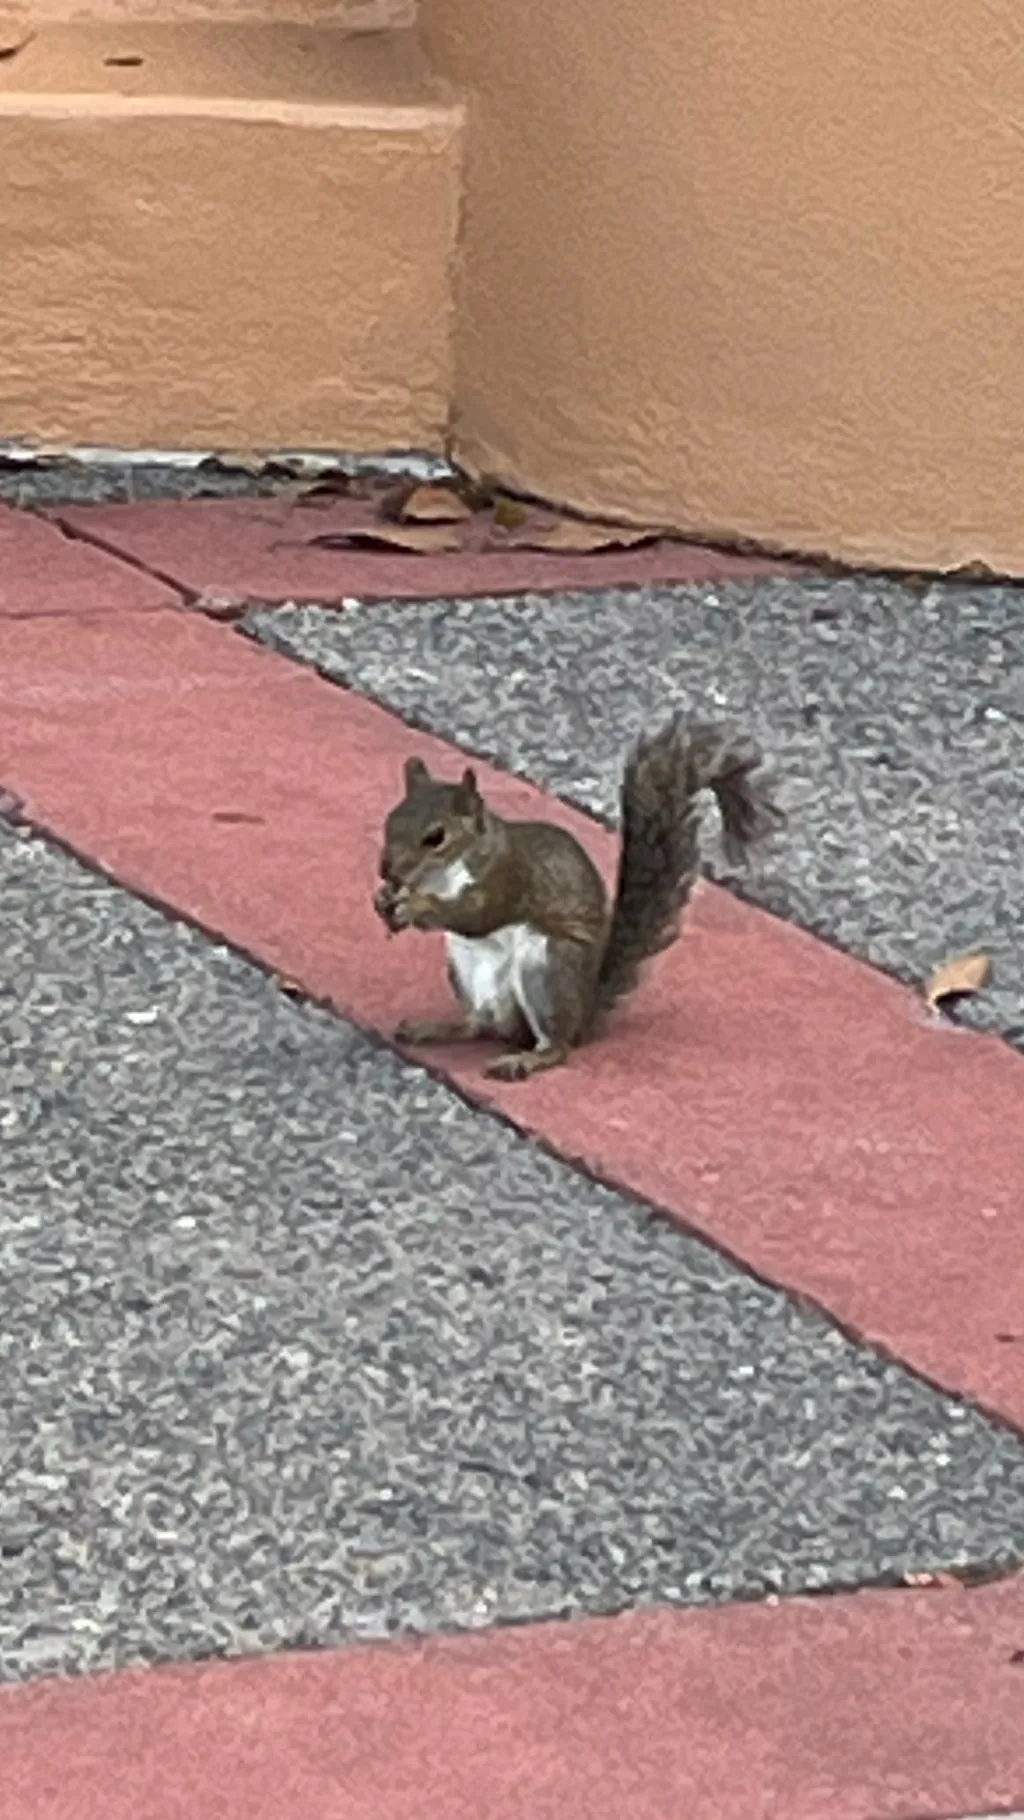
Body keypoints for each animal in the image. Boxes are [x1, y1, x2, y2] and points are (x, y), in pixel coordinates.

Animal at [373, 717, 781, 1082]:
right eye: (390, 820)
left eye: (436, 837)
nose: (386, 870)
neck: (444, 875)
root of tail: (585, 1015)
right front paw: (384, 901)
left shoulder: (508, 877)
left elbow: (477, 914)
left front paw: (419, 906)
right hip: (464, 970)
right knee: (481, 1025)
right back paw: (433, 1028)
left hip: (549, 966)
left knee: (556, 1045)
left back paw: (523, 1061)